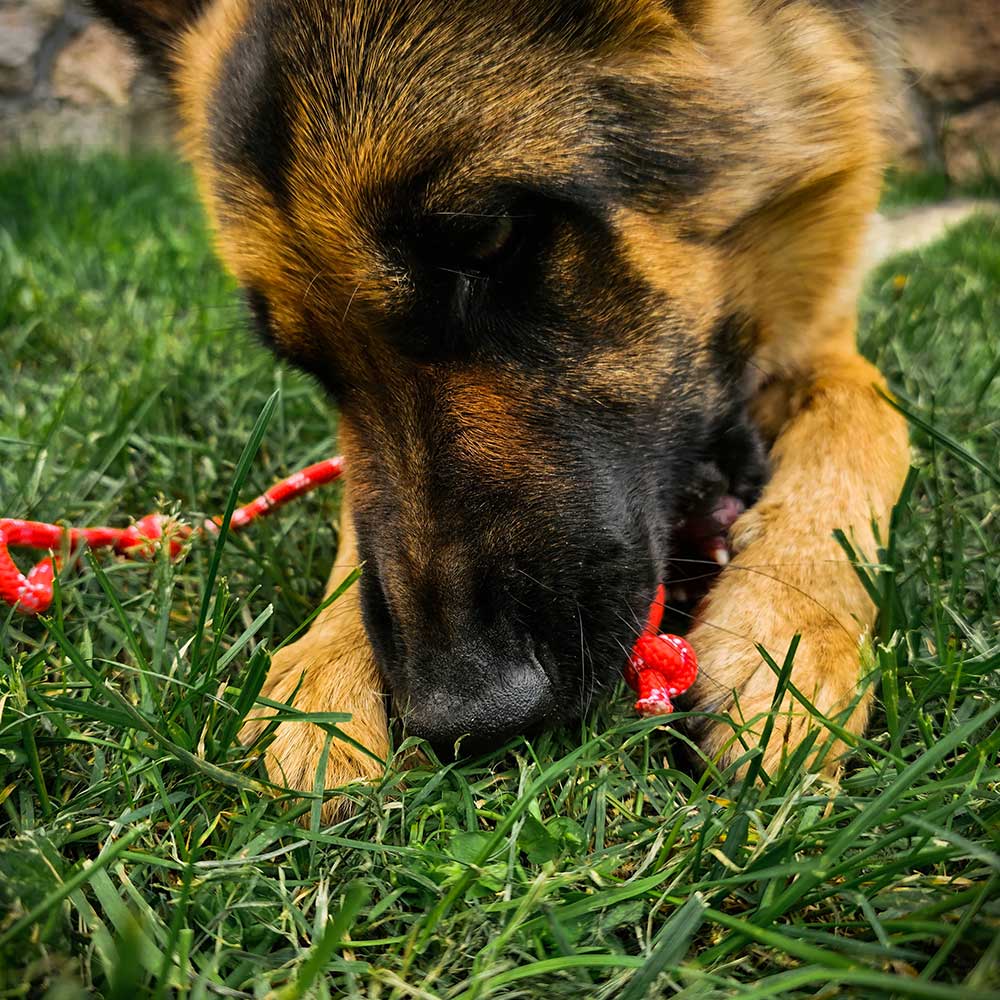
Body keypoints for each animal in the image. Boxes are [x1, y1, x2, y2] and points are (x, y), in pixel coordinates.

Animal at [92, 0, 908, 812]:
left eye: (493, 239)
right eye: (308, 364)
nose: (468, 715)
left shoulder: (827, 338)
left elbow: (871, 415)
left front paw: (787, 622)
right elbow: (361, 510)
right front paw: (324, 659)